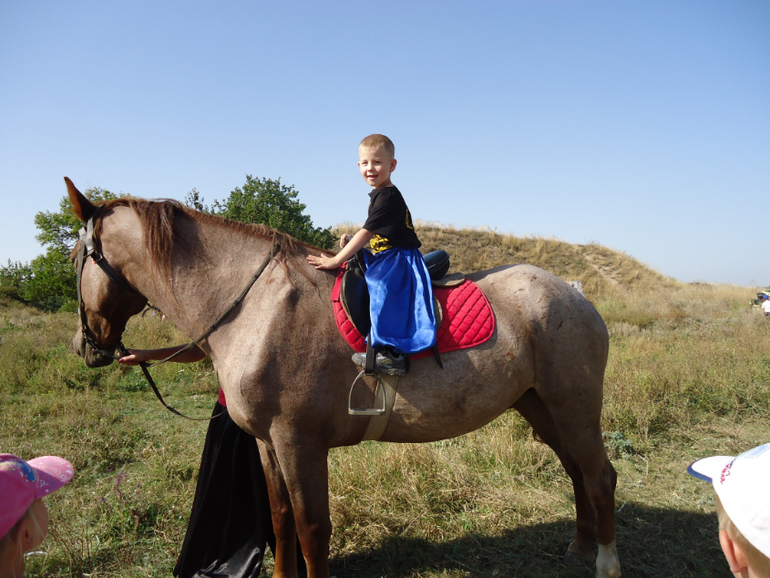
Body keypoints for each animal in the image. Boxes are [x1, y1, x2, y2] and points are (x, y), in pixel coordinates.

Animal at [65, 177, 621, 578]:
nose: (85, 345)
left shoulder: (300, 442)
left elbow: (312, 529)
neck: (255, 305)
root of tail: (574, 293)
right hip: (540, 405)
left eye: (75, 258)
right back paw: (580, 546)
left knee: (600, 476)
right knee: (578, 470)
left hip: (574, 408)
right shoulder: (268, 443)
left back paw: (606, 562)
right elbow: (281, 520)